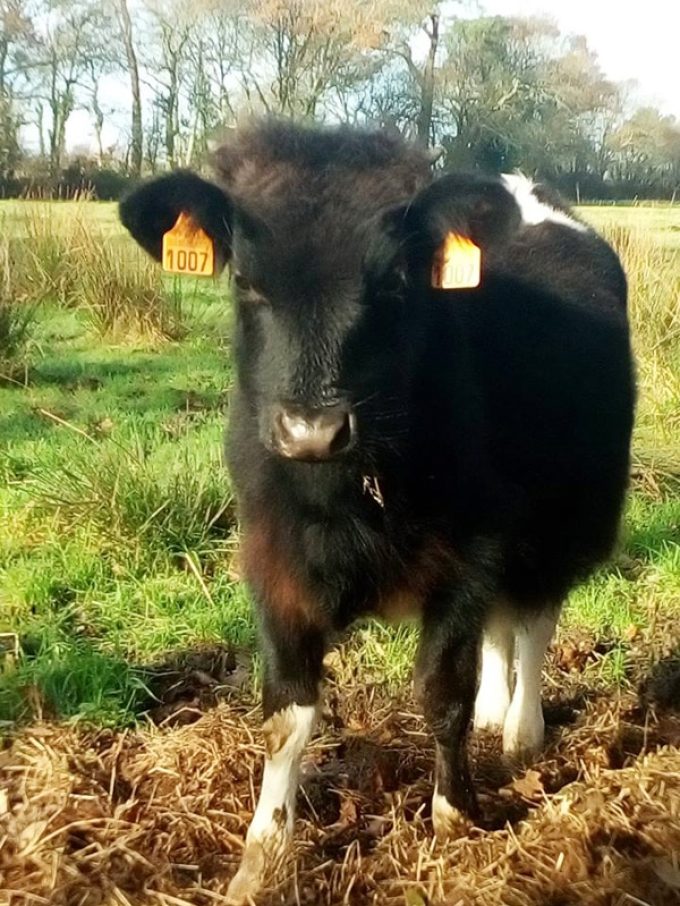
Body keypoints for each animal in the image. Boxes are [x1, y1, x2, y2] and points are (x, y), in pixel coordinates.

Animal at [119, 119, 635, 903]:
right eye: (246, 280)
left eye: (394, 282)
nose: (311, 429)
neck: (344, 501)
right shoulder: (274, 561)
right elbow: (287, 714)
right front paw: (263, 854)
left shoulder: (471, 555)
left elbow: (444, 692)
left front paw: (454, 817)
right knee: (501, 632)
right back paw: (499, 715)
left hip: (563, 523)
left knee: (531, 623)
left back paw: (521, 730)